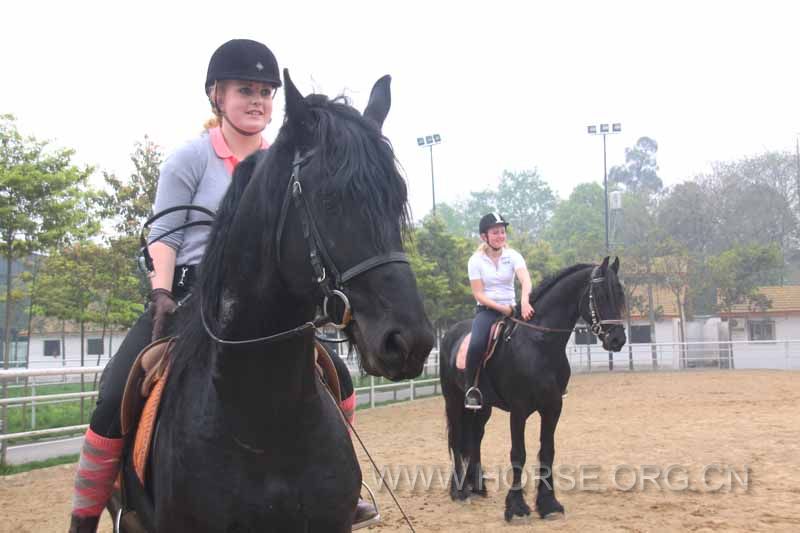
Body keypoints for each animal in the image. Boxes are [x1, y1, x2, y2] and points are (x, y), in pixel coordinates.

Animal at [440, 256, 628, 520]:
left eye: (620, 294)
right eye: (600, 295)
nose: (617, 340)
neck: (539, 344)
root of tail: (450, 334)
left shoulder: (553, 408)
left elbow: (547, 451)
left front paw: (549, 504)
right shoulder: (519, 410)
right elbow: (518, 454)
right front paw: (516, 507)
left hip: (482, 406)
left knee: (475, 437)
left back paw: (477, 487)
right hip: (454, 400)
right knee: (457, 439)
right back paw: (459, 491)